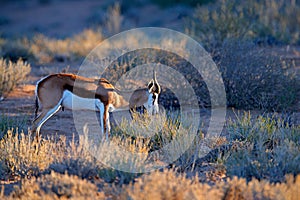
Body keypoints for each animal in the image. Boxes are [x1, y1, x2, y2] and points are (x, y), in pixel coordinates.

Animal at [31, 72, 161, 138]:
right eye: (154, 97)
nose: (156, 112)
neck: (115, 94)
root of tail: (40, 82)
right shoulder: (104, 107)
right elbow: (104, 129)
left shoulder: (106, 110)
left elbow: (108, 130)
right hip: (50, 107)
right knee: (35, 123)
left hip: (53, 108)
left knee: (37, 126)